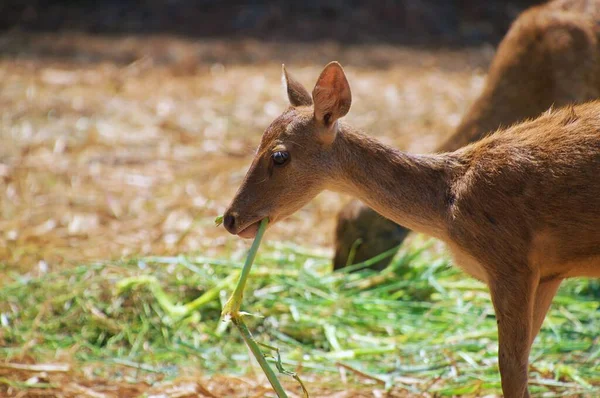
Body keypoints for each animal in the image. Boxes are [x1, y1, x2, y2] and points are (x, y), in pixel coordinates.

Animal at [223, 59, 600, 398]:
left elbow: (510, 368)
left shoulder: (512, 262)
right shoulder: (549, 273)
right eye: (257, 143)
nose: (230, 218)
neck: (450, 206)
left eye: (279, 156)